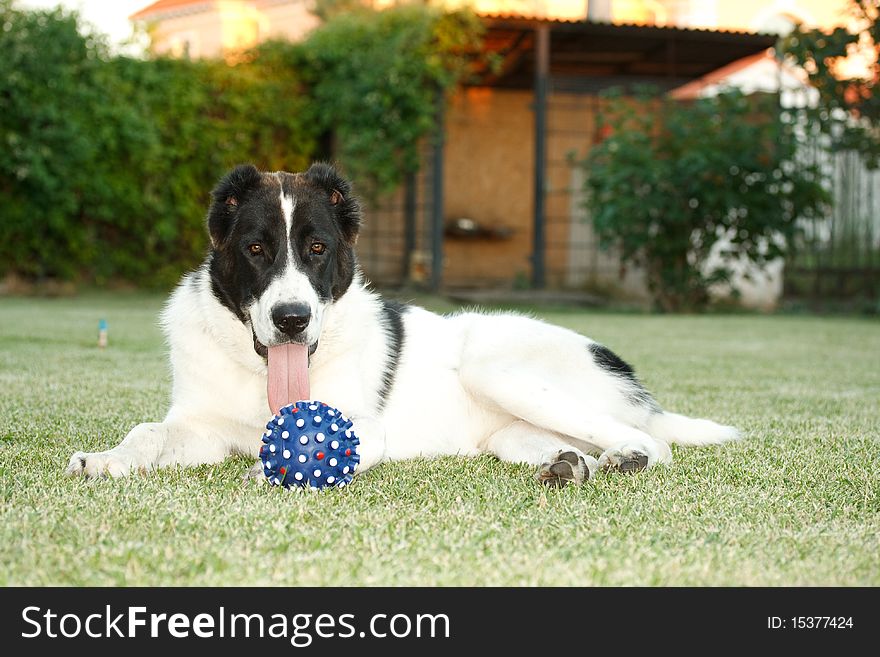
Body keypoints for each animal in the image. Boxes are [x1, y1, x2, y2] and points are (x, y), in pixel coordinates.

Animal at [65, 161, 740, 484]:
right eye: (256, 249)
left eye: (317, 249)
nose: (291, 320)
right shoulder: (201, 427)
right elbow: (148, 432)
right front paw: (107, 460)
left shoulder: (364, 428)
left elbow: (322, 447)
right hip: (513, 435)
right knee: (576, 445)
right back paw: (573, 466)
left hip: (498, 369)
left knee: (651, 443)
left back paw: (625, 458)